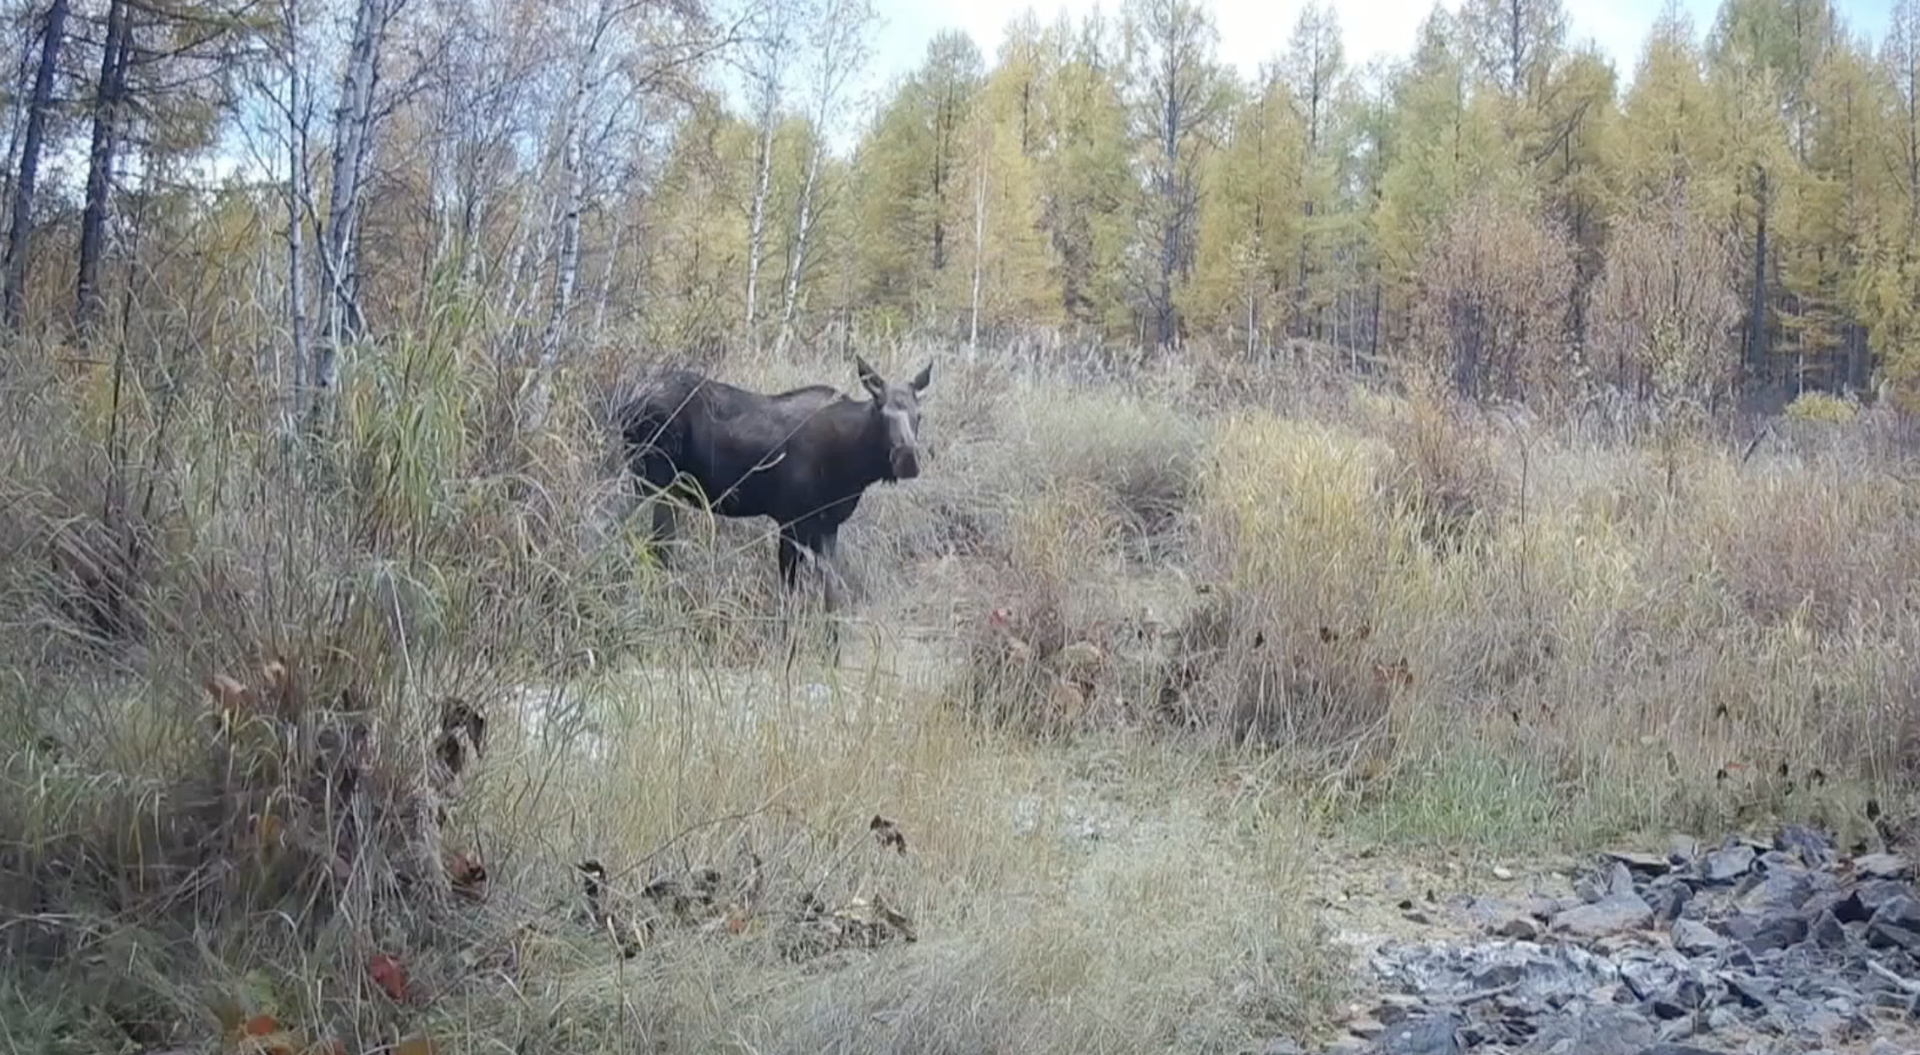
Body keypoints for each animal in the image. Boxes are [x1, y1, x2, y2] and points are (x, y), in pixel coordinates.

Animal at [618, 357, 933, 611]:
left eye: (919, 415)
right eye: (881, 411)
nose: (907, 459)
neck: (852, 464)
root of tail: (627, 406)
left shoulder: (827, 524)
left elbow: (832, 595)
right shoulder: (790, 521)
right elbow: (788, 596)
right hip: (653, 483)